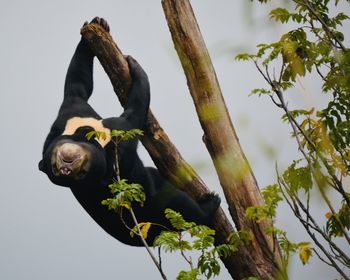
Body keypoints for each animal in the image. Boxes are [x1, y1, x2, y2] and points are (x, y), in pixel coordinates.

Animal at [38, 17, 219, 245]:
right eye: (57, 171)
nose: (65, 169)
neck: (87, 133)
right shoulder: (120, 144)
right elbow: (135, 115)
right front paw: (135, 65)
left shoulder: (69, 113)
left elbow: (78, 83)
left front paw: (97, 24)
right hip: (157, 207)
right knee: (182, 207)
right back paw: (210, 203)